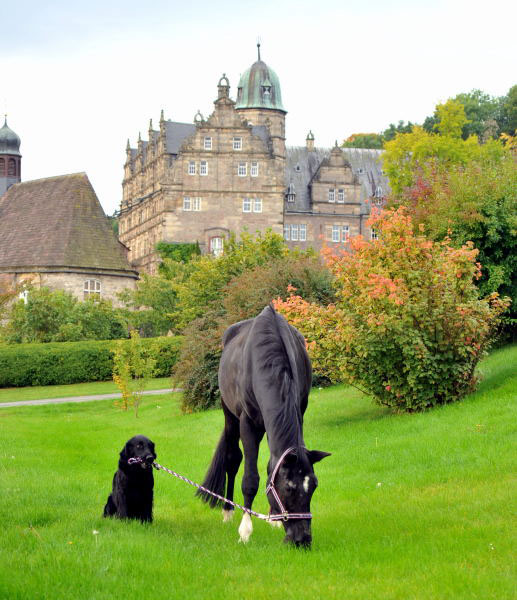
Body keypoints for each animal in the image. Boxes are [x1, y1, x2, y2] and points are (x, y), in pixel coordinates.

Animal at [198, 304, 330, 548]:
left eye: (314, 485)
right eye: (288, 488)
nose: (302, 540)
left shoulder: (297, 412)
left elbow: (272, 466)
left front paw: (274, 519)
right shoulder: (247, 424)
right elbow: (250, 479)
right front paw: (245, 530)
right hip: (229, 415)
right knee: (232, 459)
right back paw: (228, 510)